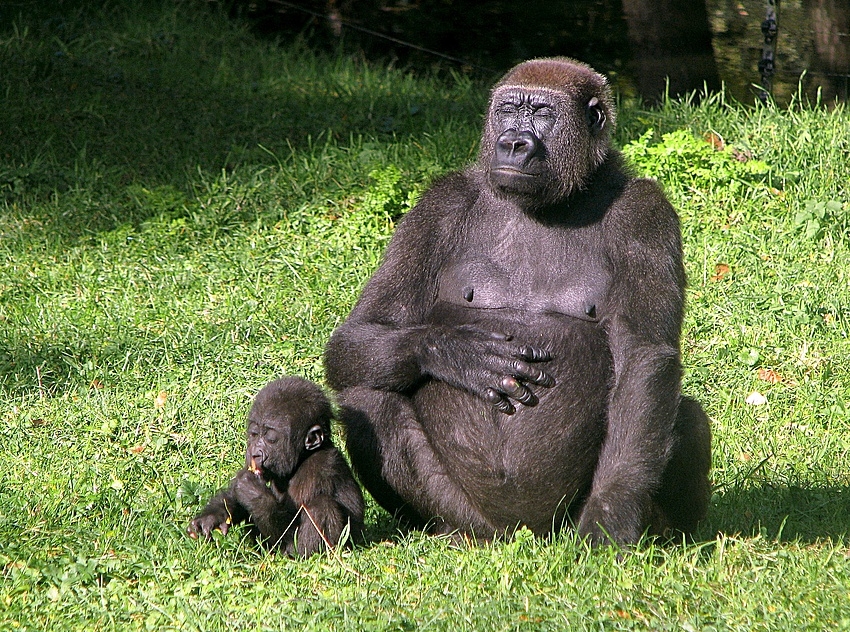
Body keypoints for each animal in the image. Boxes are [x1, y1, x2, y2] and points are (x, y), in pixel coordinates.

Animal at [187, 378, 362, 556]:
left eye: (270, 439)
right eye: (254, 434)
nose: (255, 454)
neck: (303, 458)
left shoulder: (319, 469)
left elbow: (289, 531)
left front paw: (253, 493)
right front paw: (213, 515)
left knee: (321, 506)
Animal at [324, 56, 708, 544]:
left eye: (541, 113)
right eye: (509, 110)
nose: (512, 142)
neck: (561, 196)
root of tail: (520, 536)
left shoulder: (646, 210)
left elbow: (644, 356)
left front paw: (613, 511)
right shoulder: (438, 205)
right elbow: (360, 335)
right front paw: (455, 351)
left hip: (560, 525)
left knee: (682, 415)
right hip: (476, 519)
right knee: (368, 398)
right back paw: (446, 529)